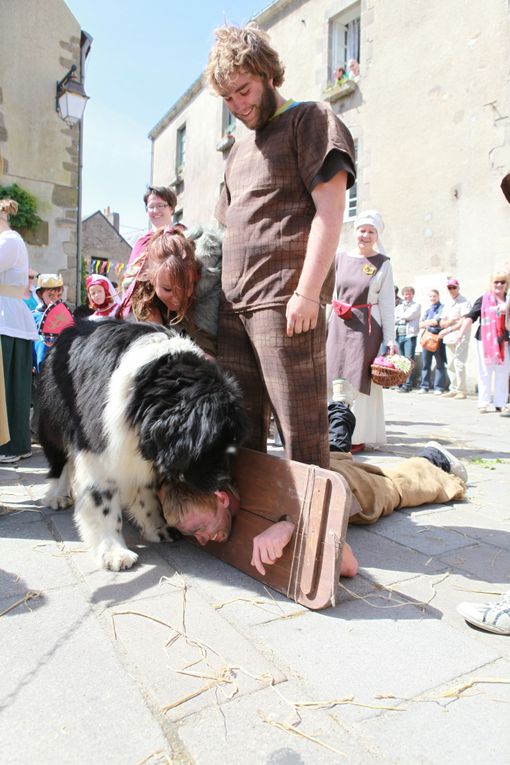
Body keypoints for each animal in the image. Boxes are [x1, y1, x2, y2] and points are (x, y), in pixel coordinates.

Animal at [38, 320, 248, 572]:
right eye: (209, 446)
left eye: (231, 445)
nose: (225, 481)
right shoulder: (99, 450)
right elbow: (104, 502)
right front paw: (114, 551)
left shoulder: (139, 451)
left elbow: (145, 493)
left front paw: (157, 527)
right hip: (55, 420)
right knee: (60, 460)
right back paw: (58, 495)